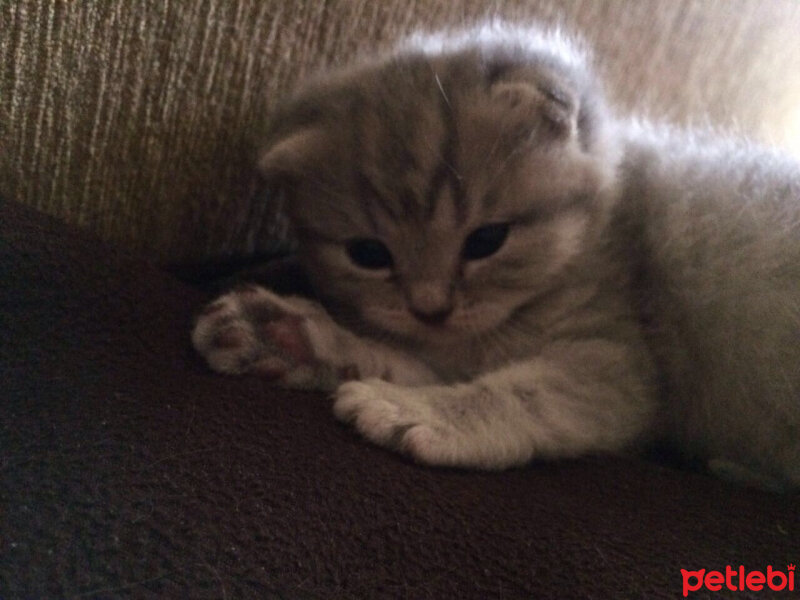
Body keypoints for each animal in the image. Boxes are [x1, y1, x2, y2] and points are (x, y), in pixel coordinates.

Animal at [192, 22, 800, 488]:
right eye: (368, 253)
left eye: (487, 241)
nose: (430, 308)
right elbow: (417, 361)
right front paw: (295, 337)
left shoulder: (618, 362)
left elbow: (523, 392)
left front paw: (416, 412)